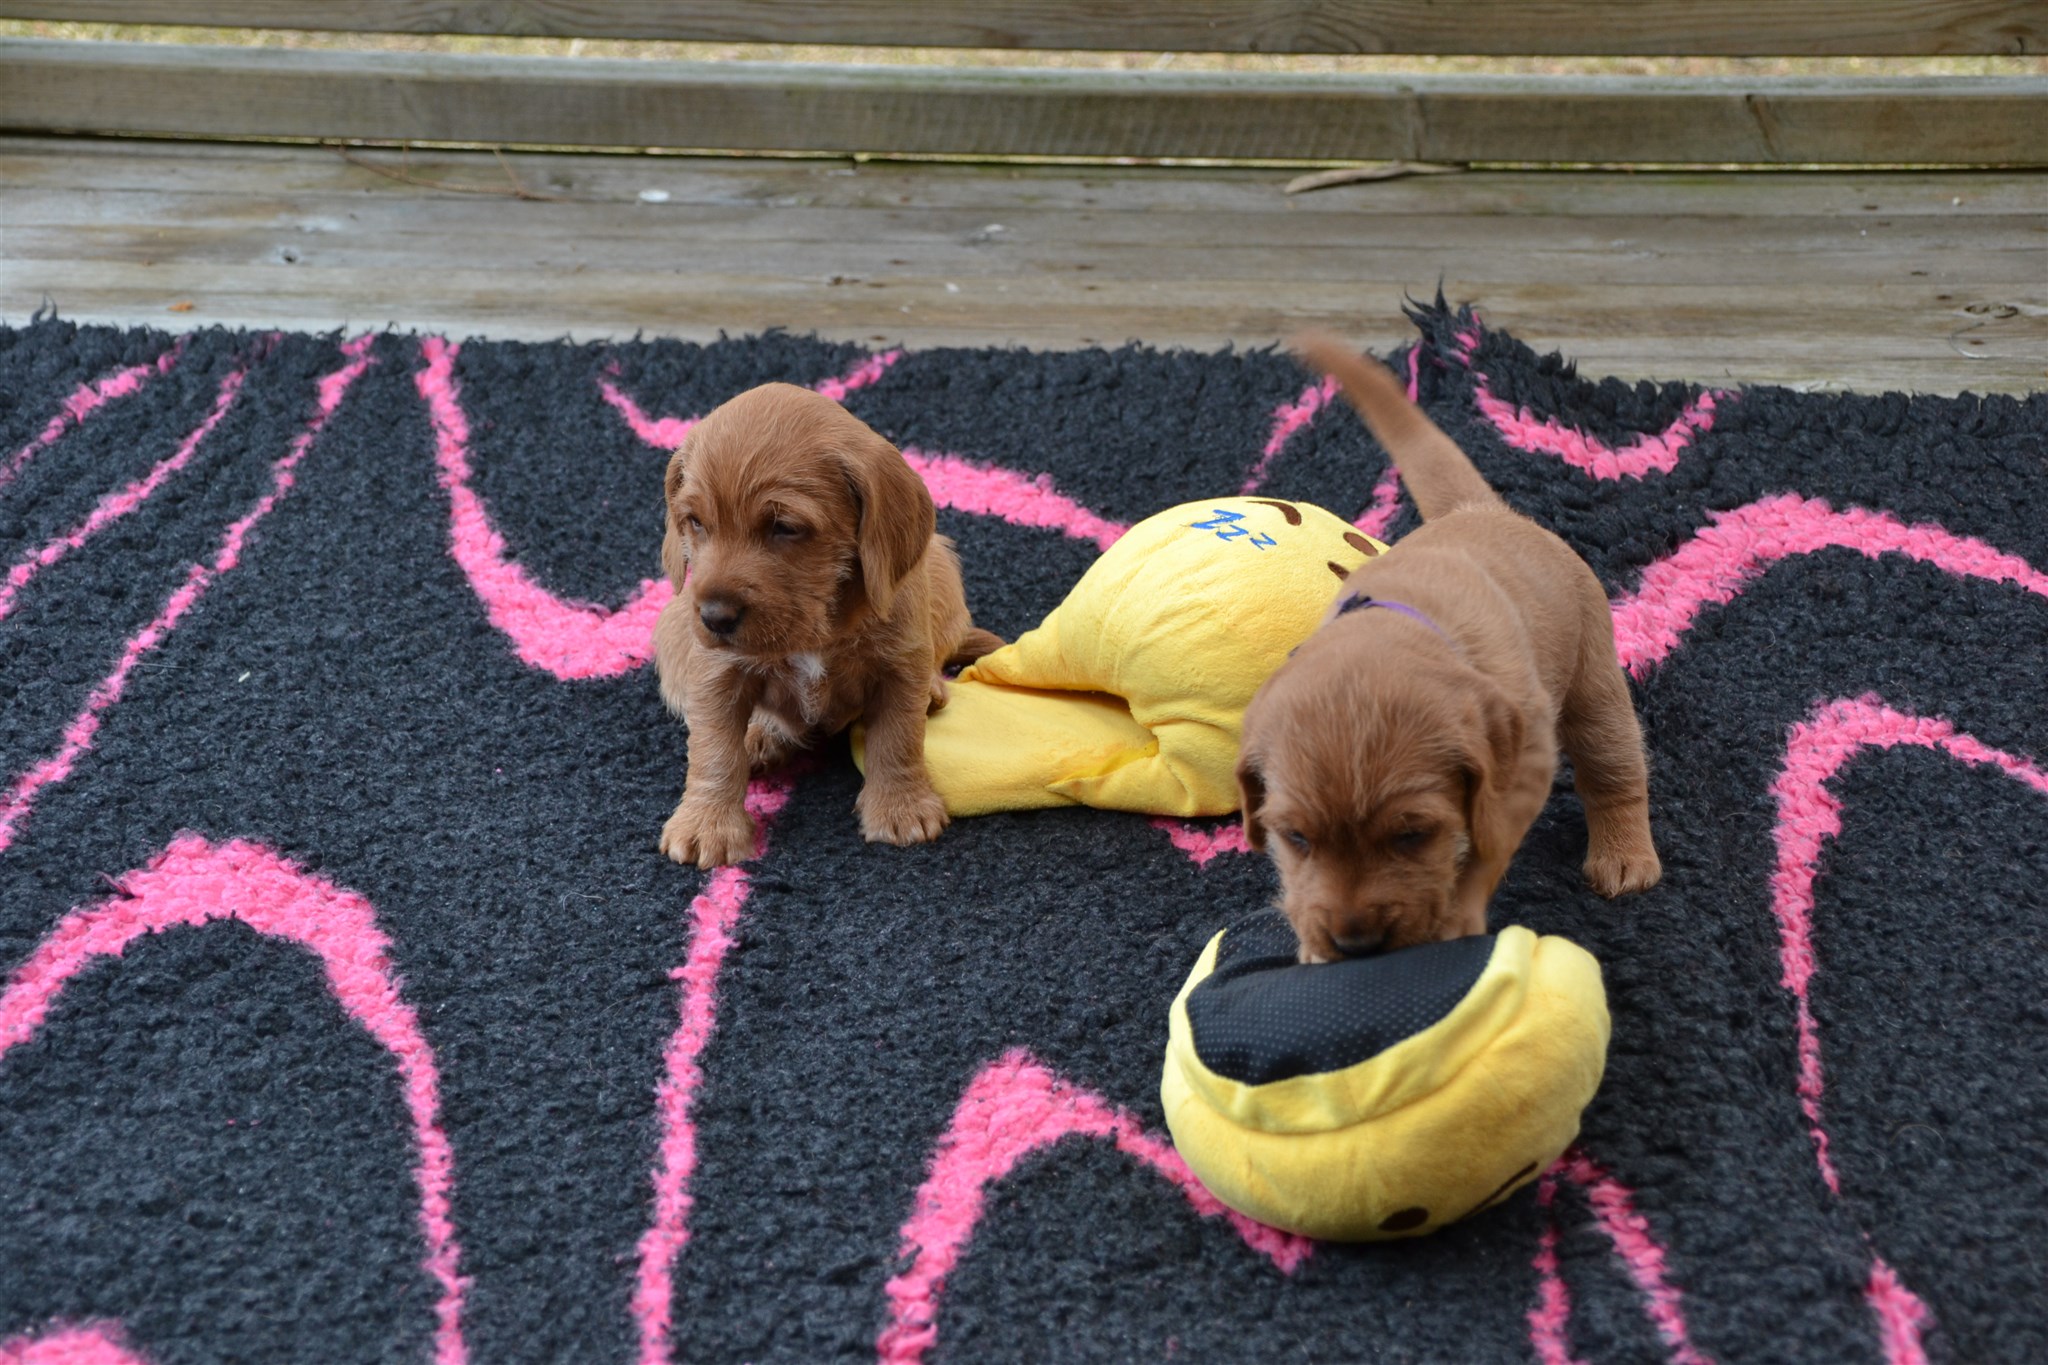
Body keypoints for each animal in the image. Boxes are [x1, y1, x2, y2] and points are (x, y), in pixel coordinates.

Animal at [653, 382, 1002, 868]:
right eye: (696, 522)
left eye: (784, 527)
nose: (714, 617)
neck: (818, 626)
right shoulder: (716, 674)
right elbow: (714, 749)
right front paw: (708, 825)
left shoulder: (900, 666)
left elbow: (898, 738)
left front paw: (901, 808)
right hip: (673, 628)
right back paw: (763, 732)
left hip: (940, 568)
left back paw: (932, 689)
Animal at [1236, 335, 1662, 962]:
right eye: (1296, 837)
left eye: (1413, 835)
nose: (1355, 944)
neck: (1402, 626)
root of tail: (1482, 510)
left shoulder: (1521, 771)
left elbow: (1487, 848)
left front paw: (1455, 918)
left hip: (1594, 677)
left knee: (1615, 768)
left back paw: (1625, 855)